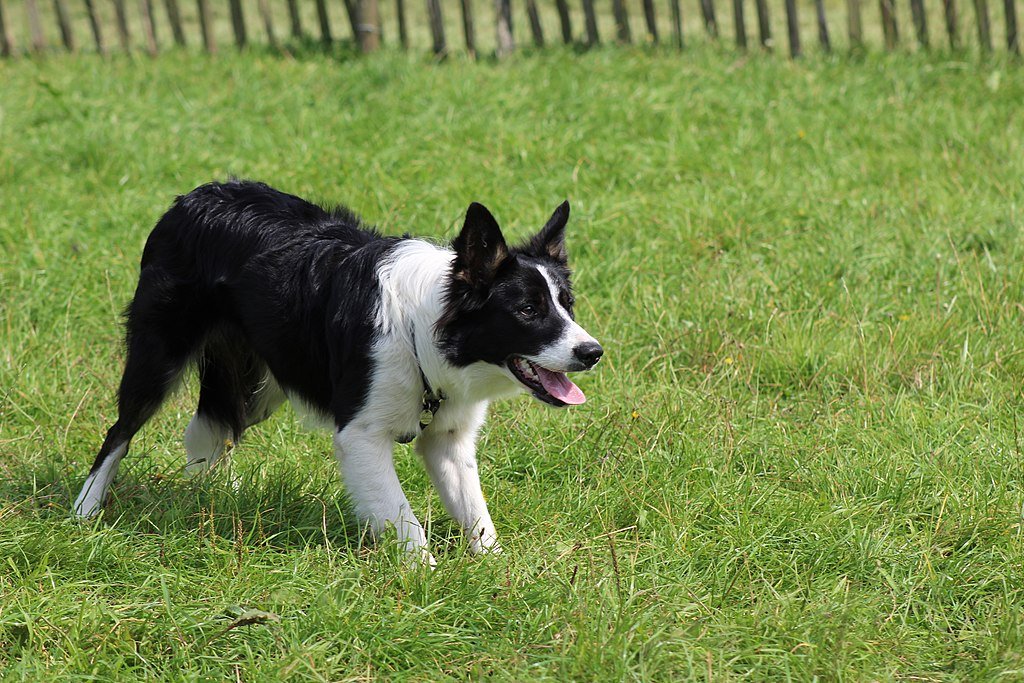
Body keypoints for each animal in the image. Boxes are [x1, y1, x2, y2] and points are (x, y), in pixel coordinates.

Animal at [75, 180, 602, 561]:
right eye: (528, 311)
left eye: (567, 305)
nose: (593, 351)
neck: (425, 334)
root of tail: (190, 199)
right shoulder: (361, 435)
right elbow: (404, 520)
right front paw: (429, 582)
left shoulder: (448, 439)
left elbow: (476, 513)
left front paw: (496, 573)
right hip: (159, 357)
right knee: (120, 432)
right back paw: (85, 511)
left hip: (262, 381)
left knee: (209, 430)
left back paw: (214, 493)